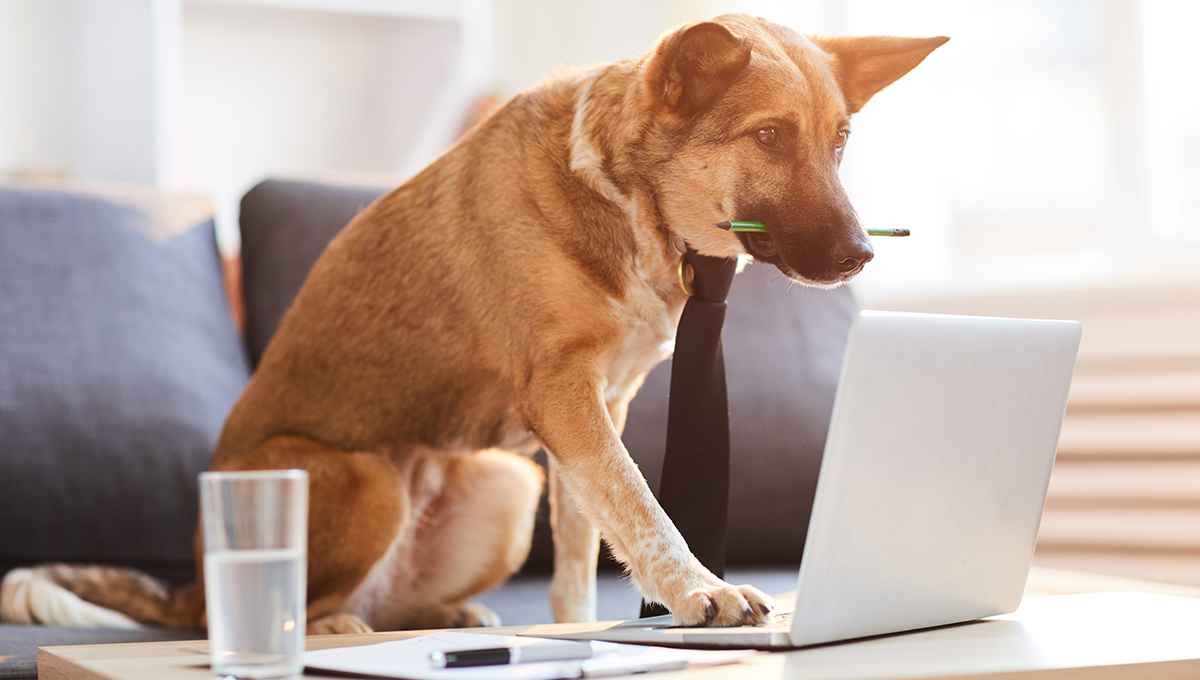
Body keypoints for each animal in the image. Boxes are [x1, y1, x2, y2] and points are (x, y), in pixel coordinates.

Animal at [2, 14, 945, 633]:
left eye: (840, 141)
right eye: (769, 135)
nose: (863, 254)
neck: (626, 196)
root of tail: (190, 587)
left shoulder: (597, 414)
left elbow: (589, 541)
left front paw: (577, 631)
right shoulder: (564, 395)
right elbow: (640, 503)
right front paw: (697, 589)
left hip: (502, 481)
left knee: (390, 600)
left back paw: (443, 615)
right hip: (367, 481)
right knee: (277, 605)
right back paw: (332, 627)